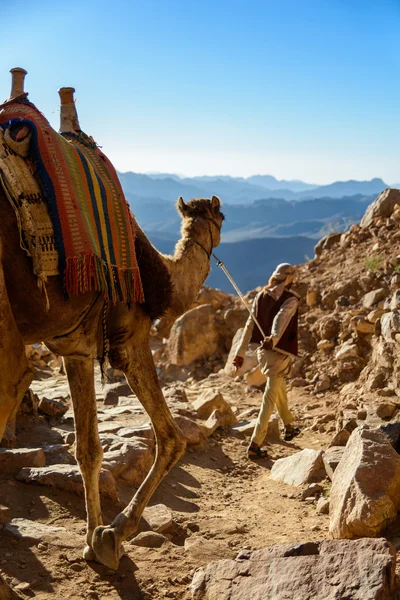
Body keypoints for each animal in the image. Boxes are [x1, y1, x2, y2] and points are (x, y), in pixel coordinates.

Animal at [0, 79, 225, 572]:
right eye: (220, 218)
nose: (216, 222)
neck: (162, 277)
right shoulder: (129, 337)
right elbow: (170, 438)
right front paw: (114, 534)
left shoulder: (77, 345)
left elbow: (88, 450)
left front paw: (93, 540)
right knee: (13, 377)